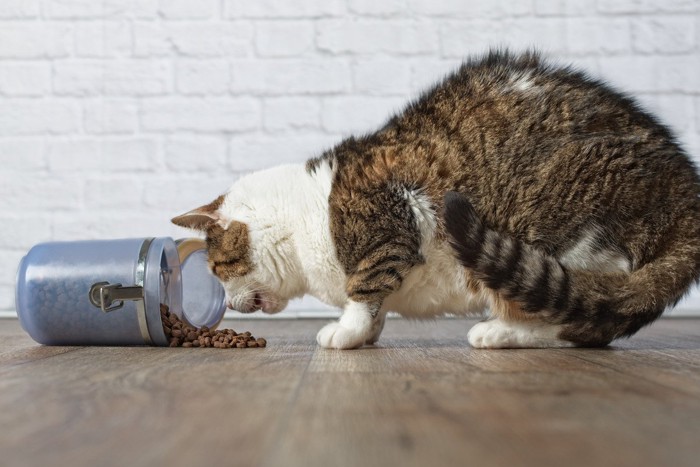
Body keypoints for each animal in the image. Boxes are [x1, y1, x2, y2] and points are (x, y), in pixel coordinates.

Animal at [171, 52, 700, 352]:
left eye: (216, 269)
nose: (227, 305)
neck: (300, 223)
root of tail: (686, 189)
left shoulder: (389, 220)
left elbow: (364, 288)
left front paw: (345, 332)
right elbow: (376, 305)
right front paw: (367, 334)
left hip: (557, 225)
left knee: (582, 319)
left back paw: (500, 333)